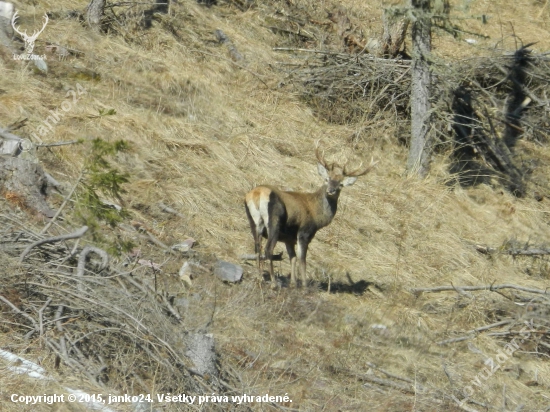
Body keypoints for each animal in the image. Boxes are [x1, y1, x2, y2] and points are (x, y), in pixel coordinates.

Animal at [247, 146, 380, 288]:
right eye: (327, 179)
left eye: (340, 184)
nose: (331, 190)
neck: (316, 213)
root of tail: (257, 194)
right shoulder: (304, 231)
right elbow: (302, 258)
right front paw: (304, 285)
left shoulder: (289, 238)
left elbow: (292, 257)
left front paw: (293, 283)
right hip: (274, 221)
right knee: (268, 249)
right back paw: (273, 283)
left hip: (253, 221)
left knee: (257, 248)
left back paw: (260, 278)